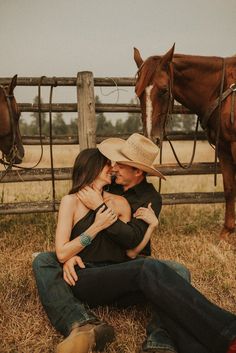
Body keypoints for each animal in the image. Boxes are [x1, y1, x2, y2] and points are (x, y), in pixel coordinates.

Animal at [135, 43, 236, 236]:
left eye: (164, 90)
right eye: (138, 93)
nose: (151, 138)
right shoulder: (224, 147)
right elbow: (229, 188)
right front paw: (227, 232)